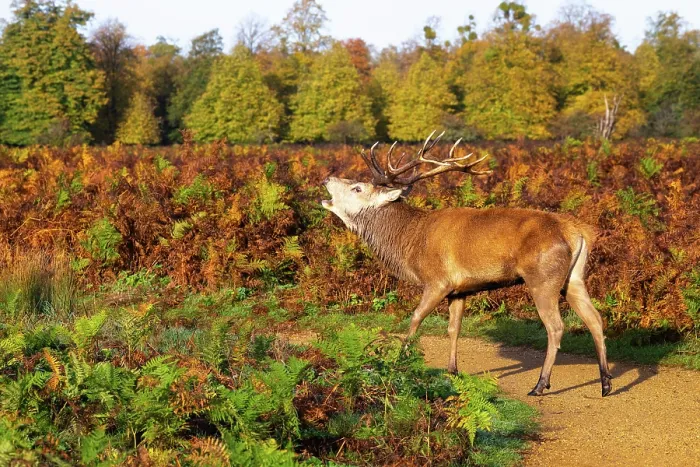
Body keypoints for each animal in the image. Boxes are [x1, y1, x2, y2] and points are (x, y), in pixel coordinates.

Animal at [321, 132, 613, 397]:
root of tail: (577, 231)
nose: (327, 178)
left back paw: (541, 385)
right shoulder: (460, 289)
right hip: (574, 278)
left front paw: (400, 362)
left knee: (556, 326)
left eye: (358, 188)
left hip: (543, 277)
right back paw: (606, 383)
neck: (410, 241)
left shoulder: (437, 280)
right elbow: (454, 328)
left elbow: (415, 319)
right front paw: (452, 370)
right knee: (595, 319)